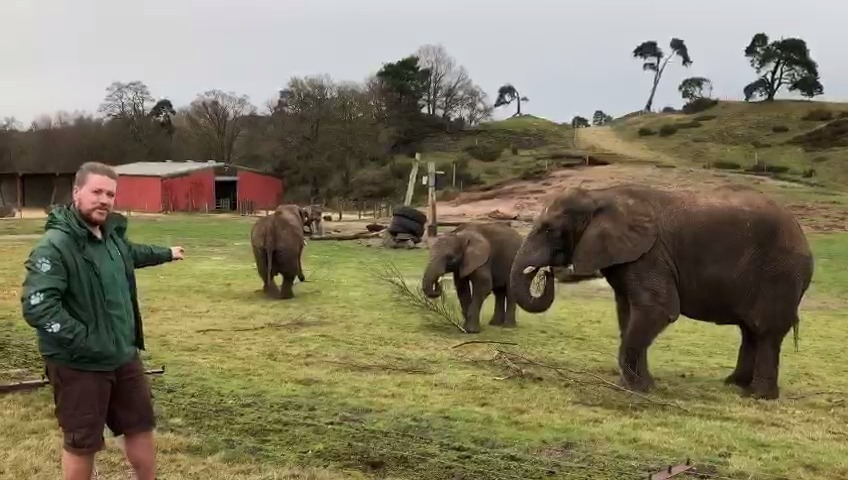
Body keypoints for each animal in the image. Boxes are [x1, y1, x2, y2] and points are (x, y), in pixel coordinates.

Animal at [508, 183, 814, 400]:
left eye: (550, 230)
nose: (548, 272)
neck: (600, 196)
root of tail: (803, 237)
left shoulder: (650, 254)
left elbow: (657, 310)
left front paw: (639, 388)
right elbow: (628, 313)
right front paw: (634, 384)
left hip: (779, 274)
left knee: (766, 331)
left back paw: (757, 396)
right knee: (750, 330)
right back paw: (733, 385)